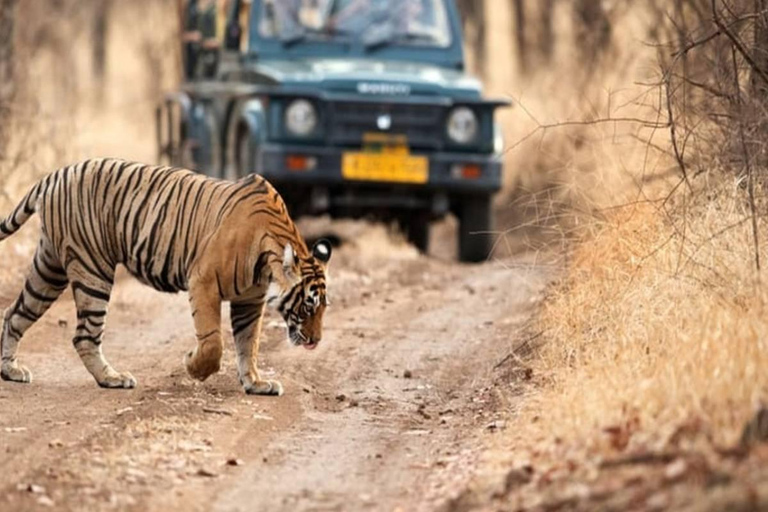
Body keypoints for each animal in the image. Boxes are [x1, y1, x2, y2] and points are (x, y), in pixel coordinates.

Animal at [0, 158, 332, 396]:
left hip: (50, 268)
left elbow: (248, 343)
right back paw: (112, 378)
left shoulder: (250, 301)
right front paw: (194, 367)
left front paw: (255, 382)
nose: (316, 341)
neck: (268, 260)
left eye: (323, 308)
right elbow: (214, 342)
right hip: (92, 268)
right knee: (84, 335)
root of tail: (56, 174)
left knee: (14, 313)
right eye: (309, 306)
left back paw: (10, 371)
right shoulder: (204, 281)